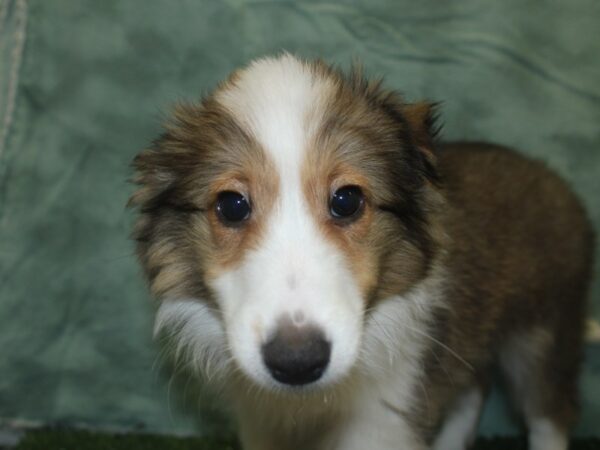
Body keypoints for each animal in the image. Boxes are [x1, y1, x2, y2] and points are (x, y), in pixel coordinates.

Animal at [129, 54, 592, 448]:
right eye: (231, 205)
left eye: (347, 200)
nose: (297, 362)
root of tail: (549, 175)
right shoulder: (263, 421)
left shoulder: (385, 415)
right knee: (472, 389)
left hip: (546, 335)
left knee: (551, 413)